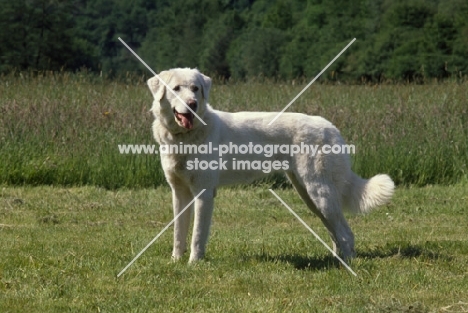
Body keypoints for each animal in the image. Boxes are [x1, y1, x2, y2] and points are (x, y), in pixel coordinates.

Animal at [147, 67, 394, 260]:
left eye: (195, 88)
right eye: (176, 89)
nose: (192, 104)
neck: (183, 138)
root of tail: (331, 127)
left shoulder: (204, 193)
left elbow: (197, 235)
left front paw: (194, 264)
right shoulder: (179, 193)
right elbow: (178, 234)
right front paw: (176, 262)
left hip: (319, 194)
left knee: (345, 233)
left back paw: (347, 264)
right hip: (310, 196)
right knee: (336, 233)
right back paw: (337, 259)